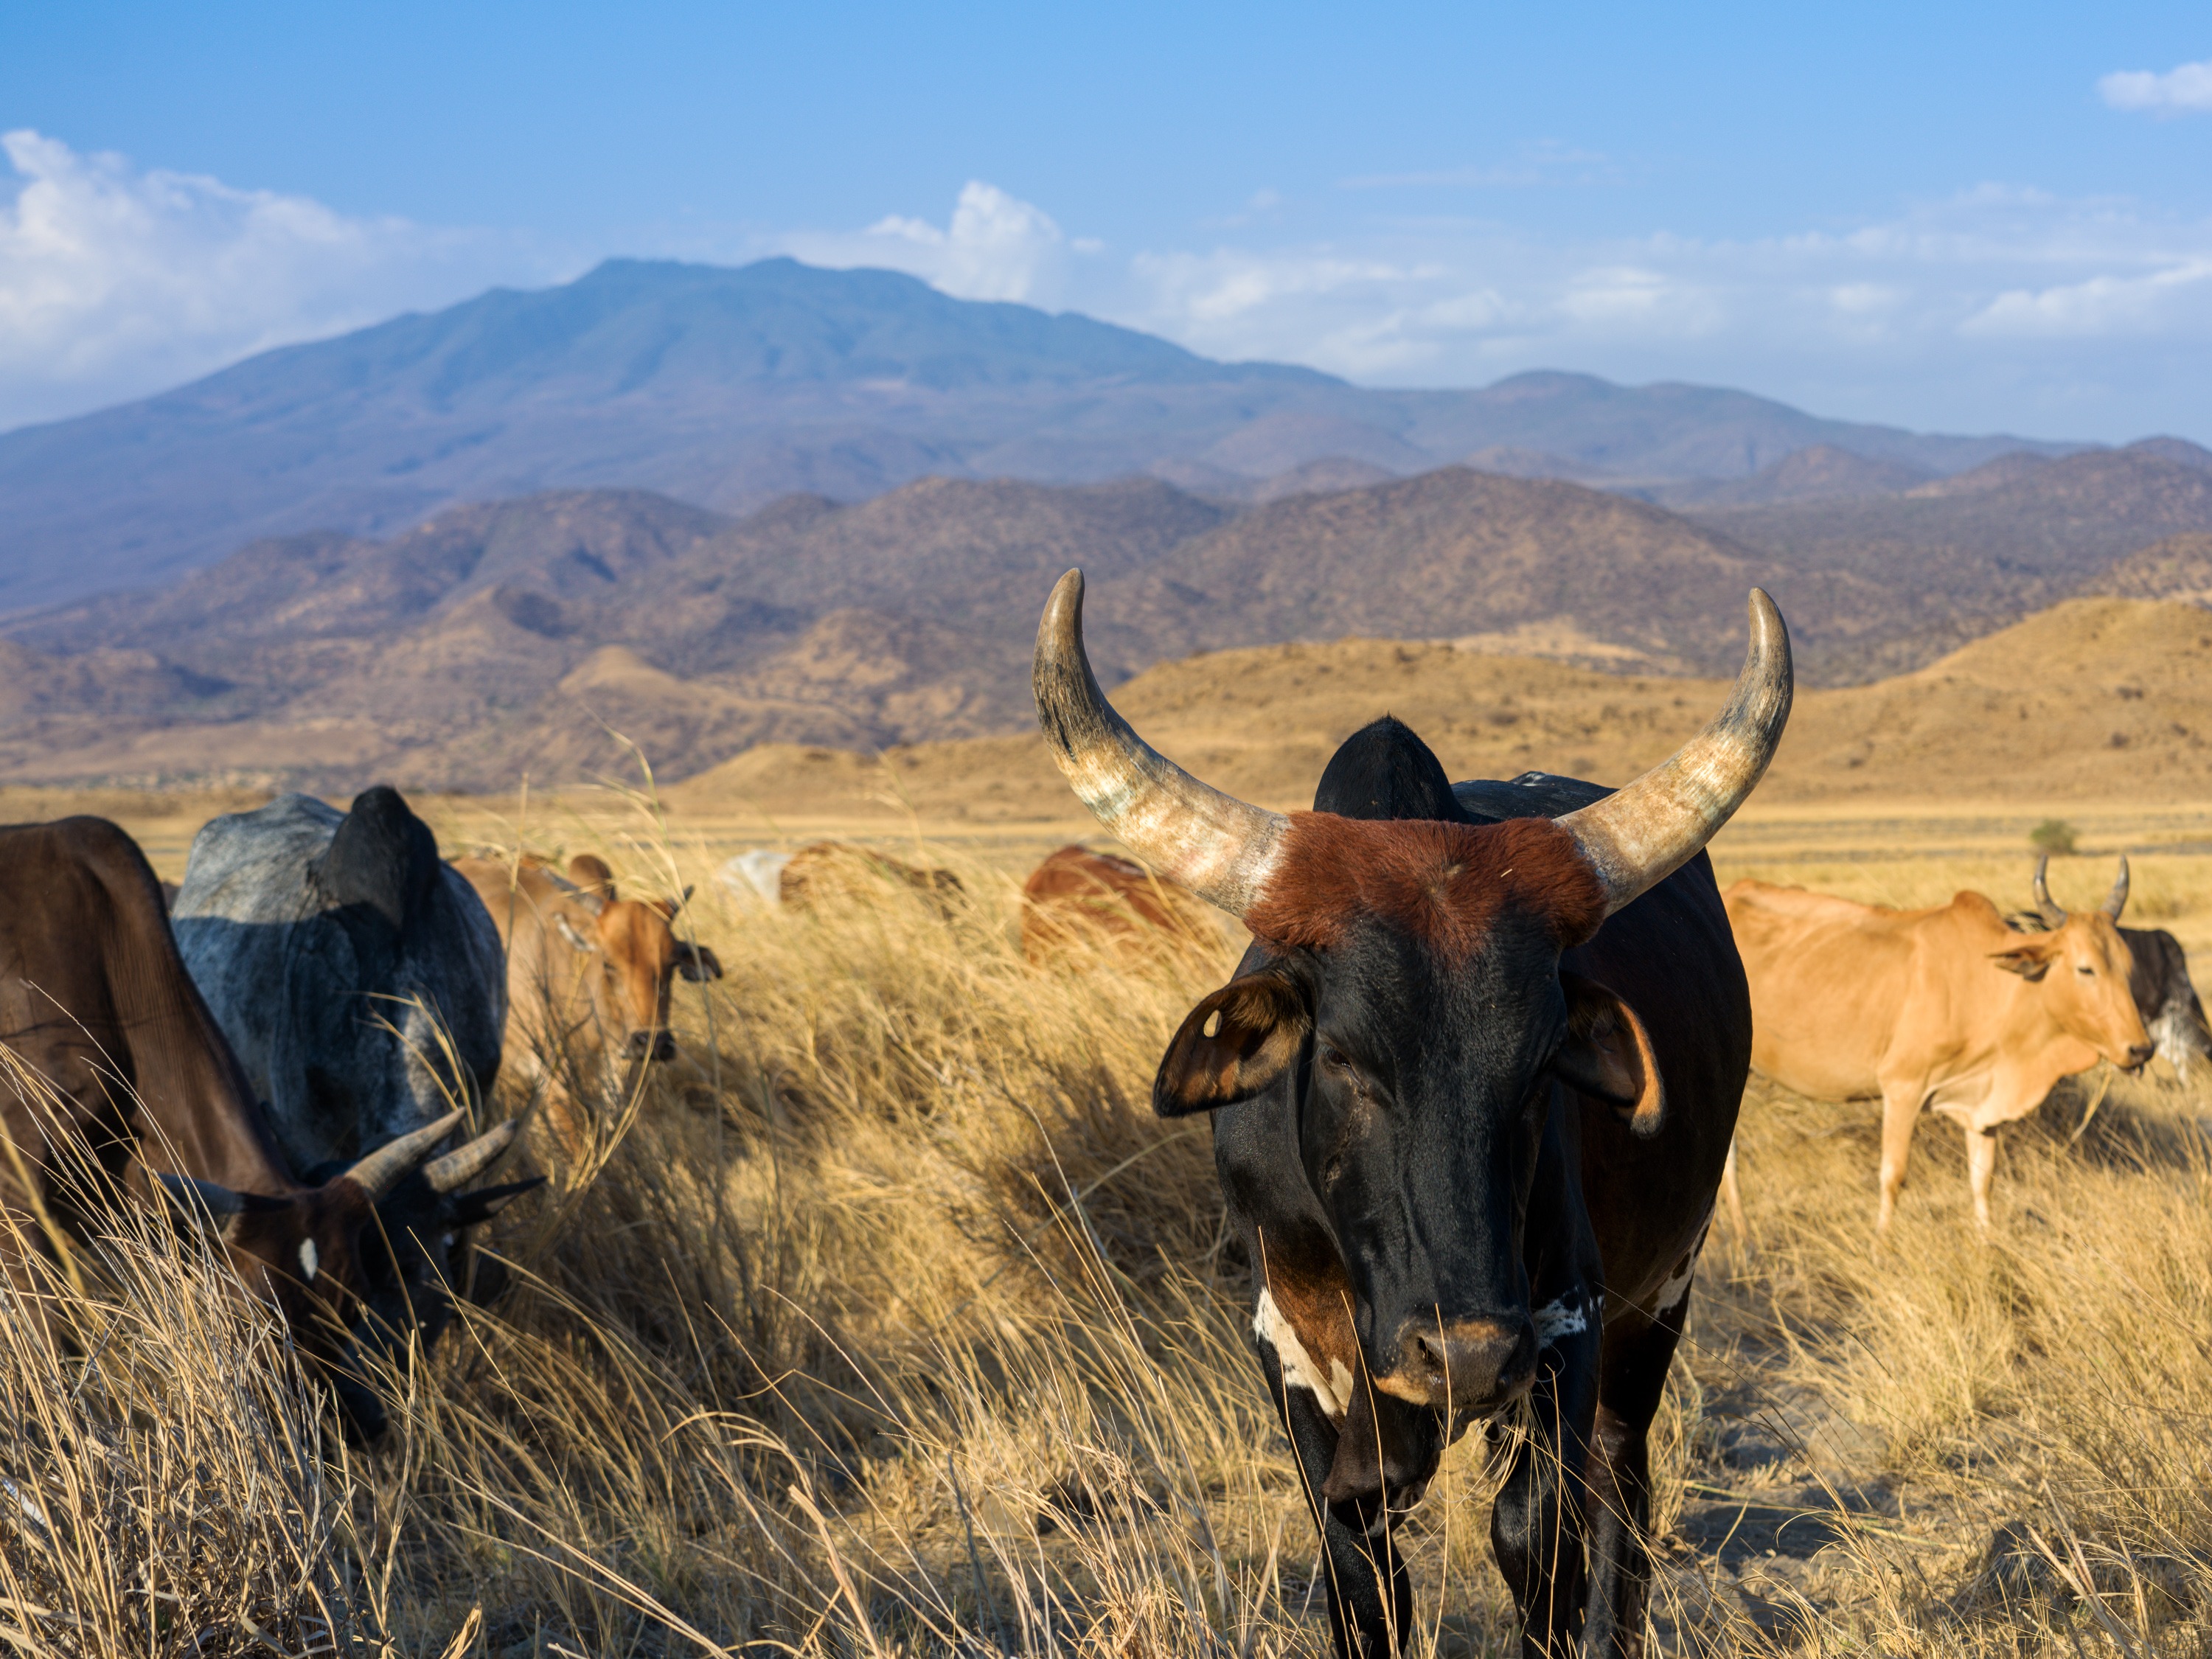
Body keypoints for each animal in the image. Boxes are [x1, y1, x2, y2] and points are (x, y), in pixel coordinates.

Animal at [1725, 870, 2153, 1234]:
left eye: (2129, 967)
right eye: (2086, 969)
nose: (2141, 1049)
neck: (1993, 984)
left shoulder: (1983, 1110)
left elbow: (1983, 1180)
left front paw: (1987, 1244)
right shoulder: (1903, 1088)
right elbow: (1893, 1176)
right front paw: (1883, 1247)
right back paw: (1744, 1239)